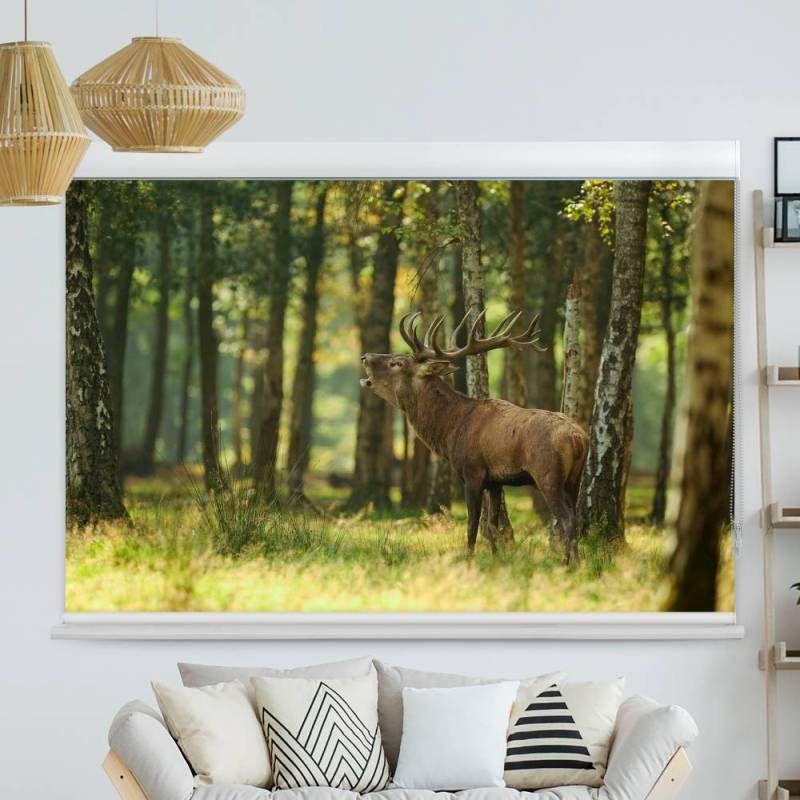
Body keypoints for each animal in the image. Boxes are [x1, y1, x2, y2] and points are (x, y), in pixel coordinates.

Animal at [360, 309, 589, 563]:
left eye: (396, 362)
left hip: (547, 473)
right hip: (574, 478)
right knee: (575, 516)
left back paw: (570, 564)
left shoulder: (472, 472)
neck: (451, 430)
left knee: (566, 518)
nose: (365, 356)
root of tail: (578, 439)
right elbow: (492, 525)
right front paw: (496, 558)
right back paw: (572, 561)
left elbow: (472, 525)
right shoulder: (496, 481)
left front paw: (469, 559)